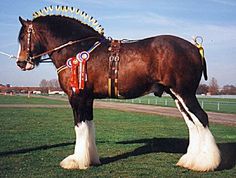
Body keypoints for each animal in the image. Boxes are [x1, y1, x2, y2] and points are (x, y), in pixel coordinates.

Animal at [17, 10, 221, 172]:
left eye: (23, 37)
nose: (21, 63)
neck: (77, 49)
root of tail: (195, 47)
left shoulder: (77, 98)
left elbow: (80, 127)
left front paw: (77, 161)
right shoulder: (88, 99)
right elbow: (89, 125)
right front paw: (91, 159)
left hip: (185, 93)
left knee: (201, 118)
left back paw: (205, 163)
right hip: (177, 95)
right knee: (192, 123)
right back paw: (190, 160)